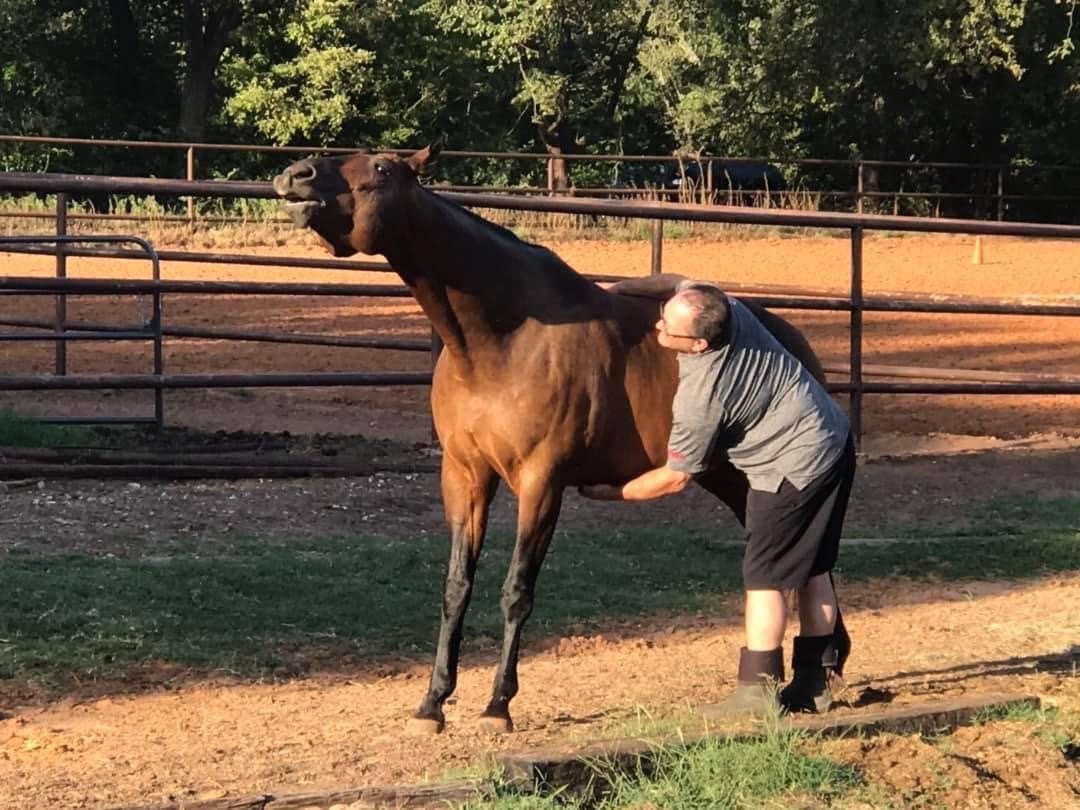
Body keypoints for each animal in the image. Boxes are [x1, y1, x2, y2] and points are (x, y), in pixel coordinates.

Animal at [272, 144, 825, 734]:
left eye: (382, 169)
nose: (296, 176)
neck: (502, 341)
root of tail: (791, 339)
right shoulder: (464, 477)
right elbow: (456, 587)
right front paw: (432, 703)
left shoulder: (541, 483)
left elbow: (516, 591)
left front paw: (498, 704)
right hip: (729, 479)